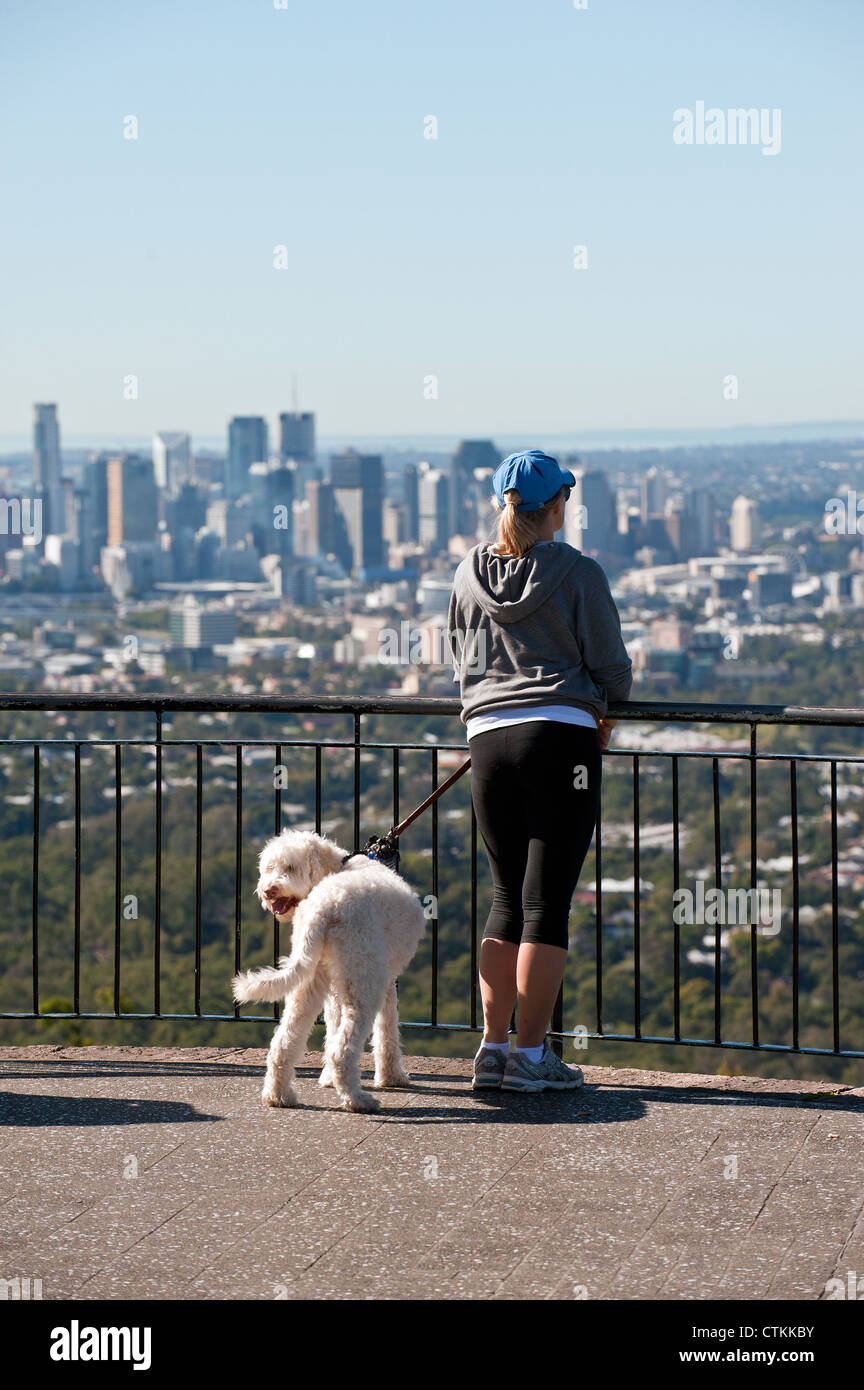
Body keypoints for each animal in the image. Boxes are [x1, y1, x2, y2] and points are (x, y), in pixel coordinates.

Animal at [231, 828, 425, 1112]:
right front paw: (392, 1077)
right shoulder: (386, 982)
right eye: (269, 868)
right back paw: (357, 1100)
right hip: (365, 984)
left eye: (290, 867)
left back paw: (279, 1096)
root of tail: (324, 907)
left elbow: (332, 1027)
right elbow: (387, 1029)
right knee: (342, 1050)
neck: (340, 866)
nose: (268, 890)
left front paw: (327, 1080)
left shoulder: (334, 987)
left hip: (310, 983)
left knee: (283, 1043)